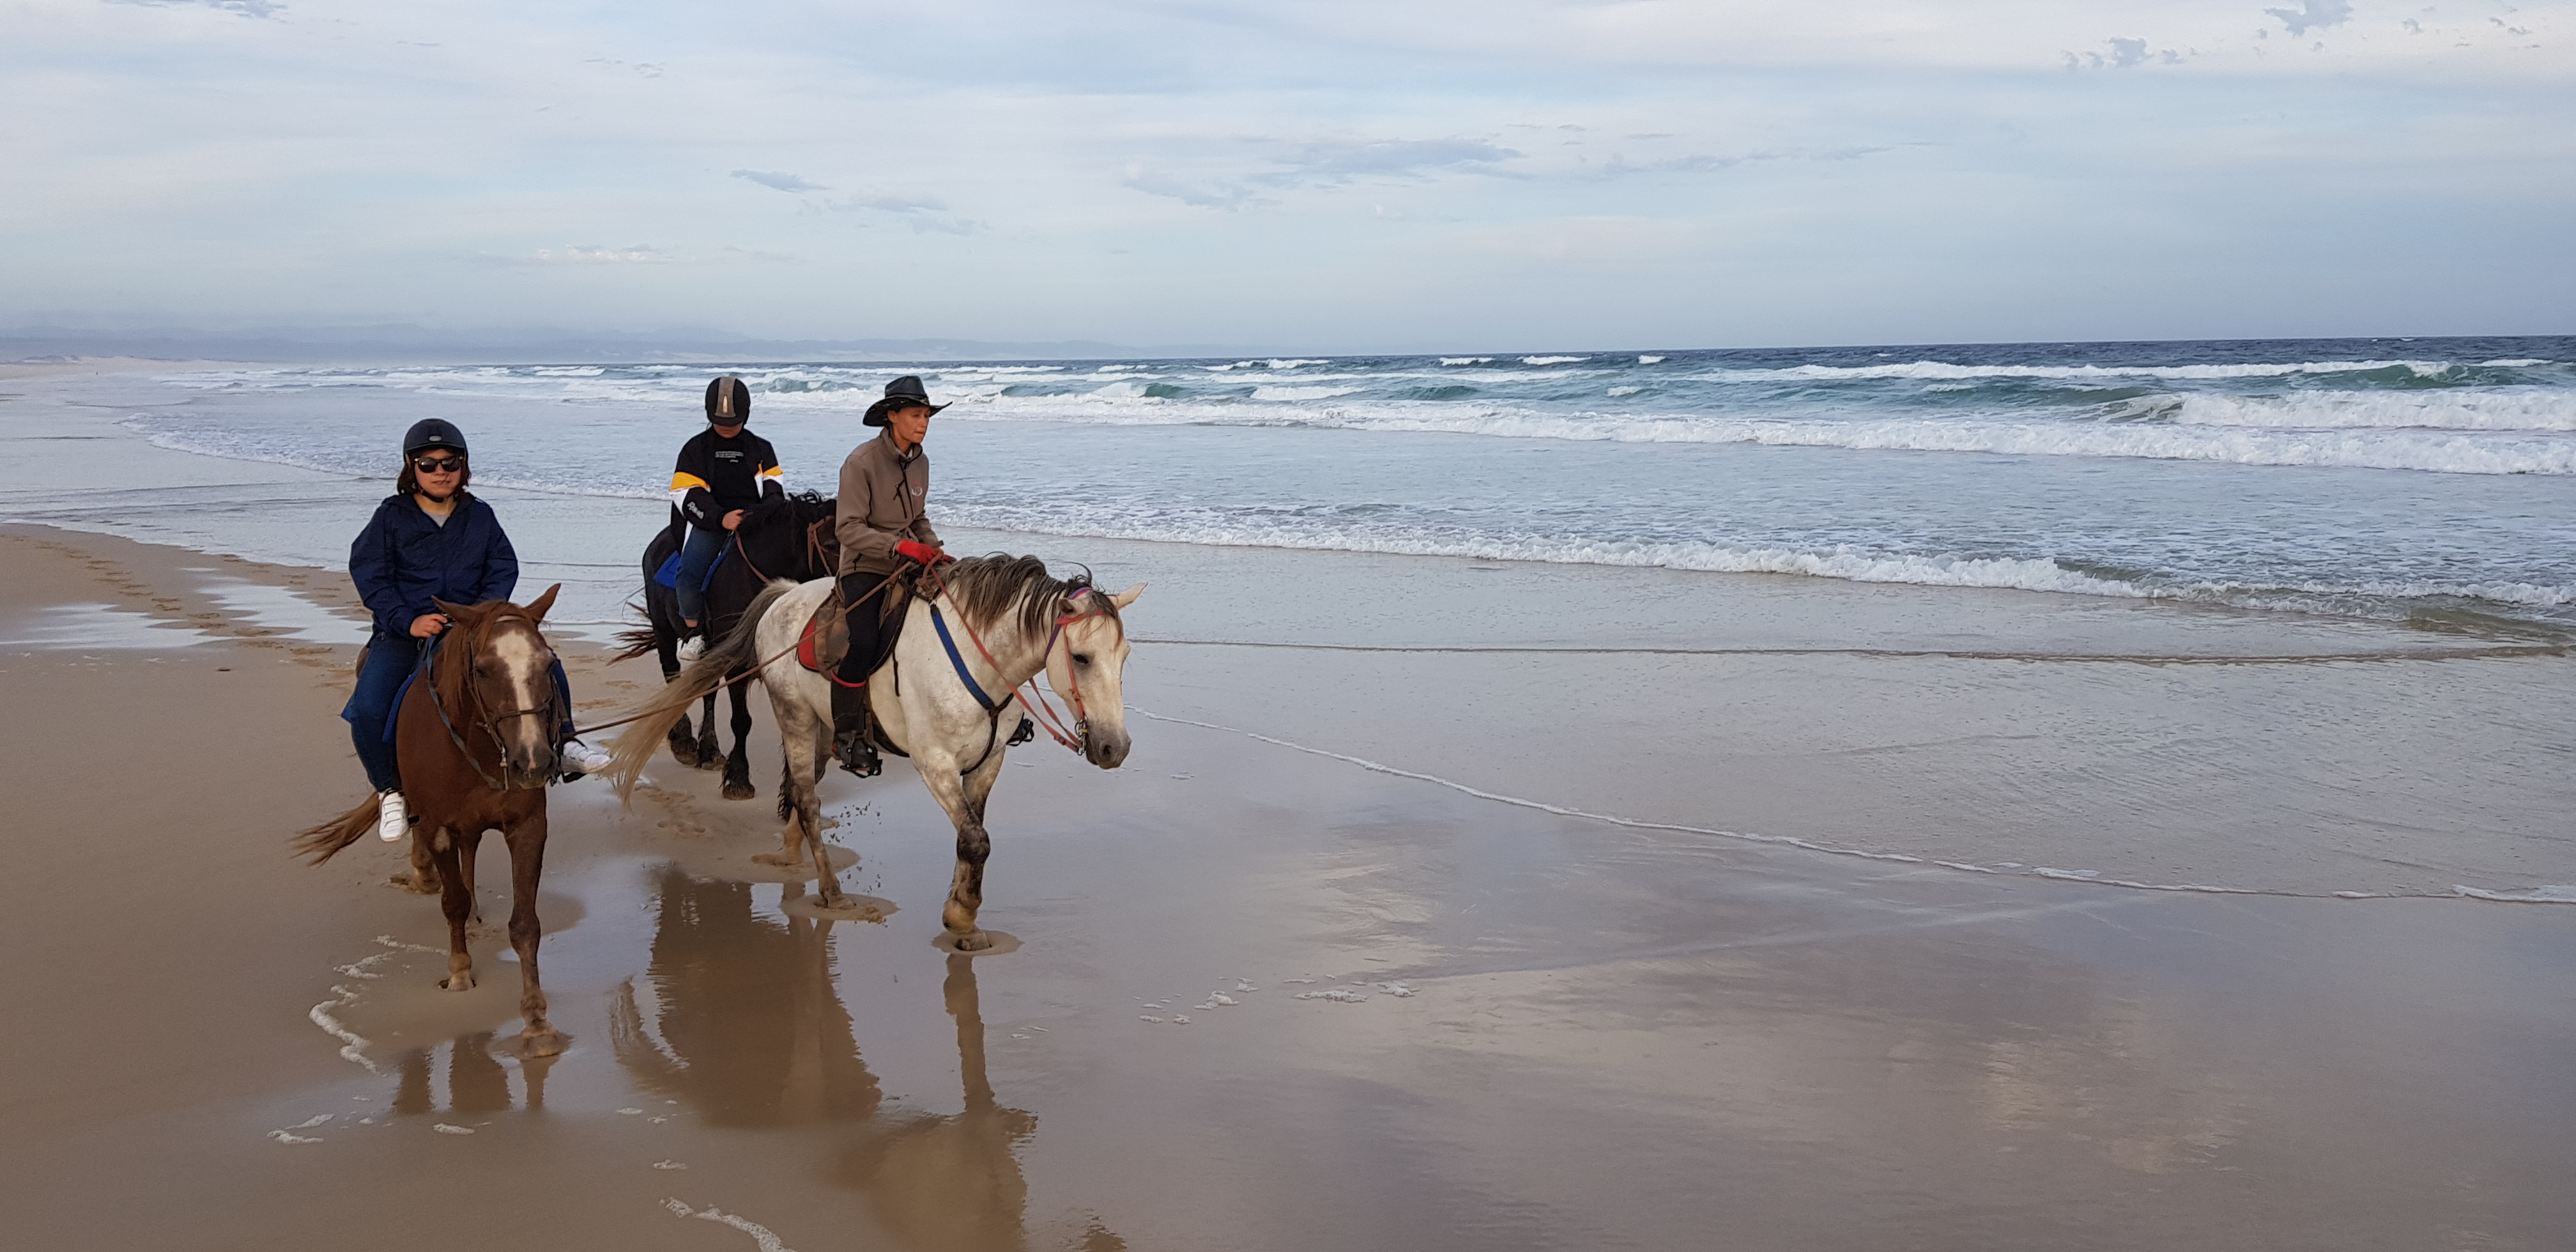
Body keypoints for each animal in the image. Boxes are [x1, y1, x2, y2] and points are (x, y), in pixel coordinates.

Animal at [296, 587, 571, 1057]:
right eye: (483, 669)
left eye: (547, 664)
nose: (534, 762)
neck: (478, 745)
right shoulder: (438, 827)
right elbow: (452, 902)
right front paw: (459, 973)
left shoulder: (528, 826)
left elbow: (525, 924)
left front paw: (537, 1022)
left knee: (471, 852)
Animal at [599, 556, 1144, 951]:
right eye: (1081, 658)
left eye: (1124, 657)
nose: (1114, 747)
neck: (977, 662)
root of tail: (783, 596)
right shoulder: (935, 764)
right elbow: (976, 839)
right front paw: (961, 918)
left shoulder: (987, 764)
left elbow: (971, 839)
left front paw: (964, 920)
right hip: (796, 719)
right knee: (808, 800)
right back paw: (831, 892)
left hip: (822, 730)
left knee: (803, 795)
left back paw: (790, 856)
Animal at [613, 492, 840, 801]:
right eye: (830, 544)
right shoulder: (737, 665)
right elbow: (742, 721)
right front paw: (738, 779)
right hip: (664, 630)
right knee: (672, 674)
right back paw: (683, 741)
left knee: (707, 690)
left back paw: (709, 750)